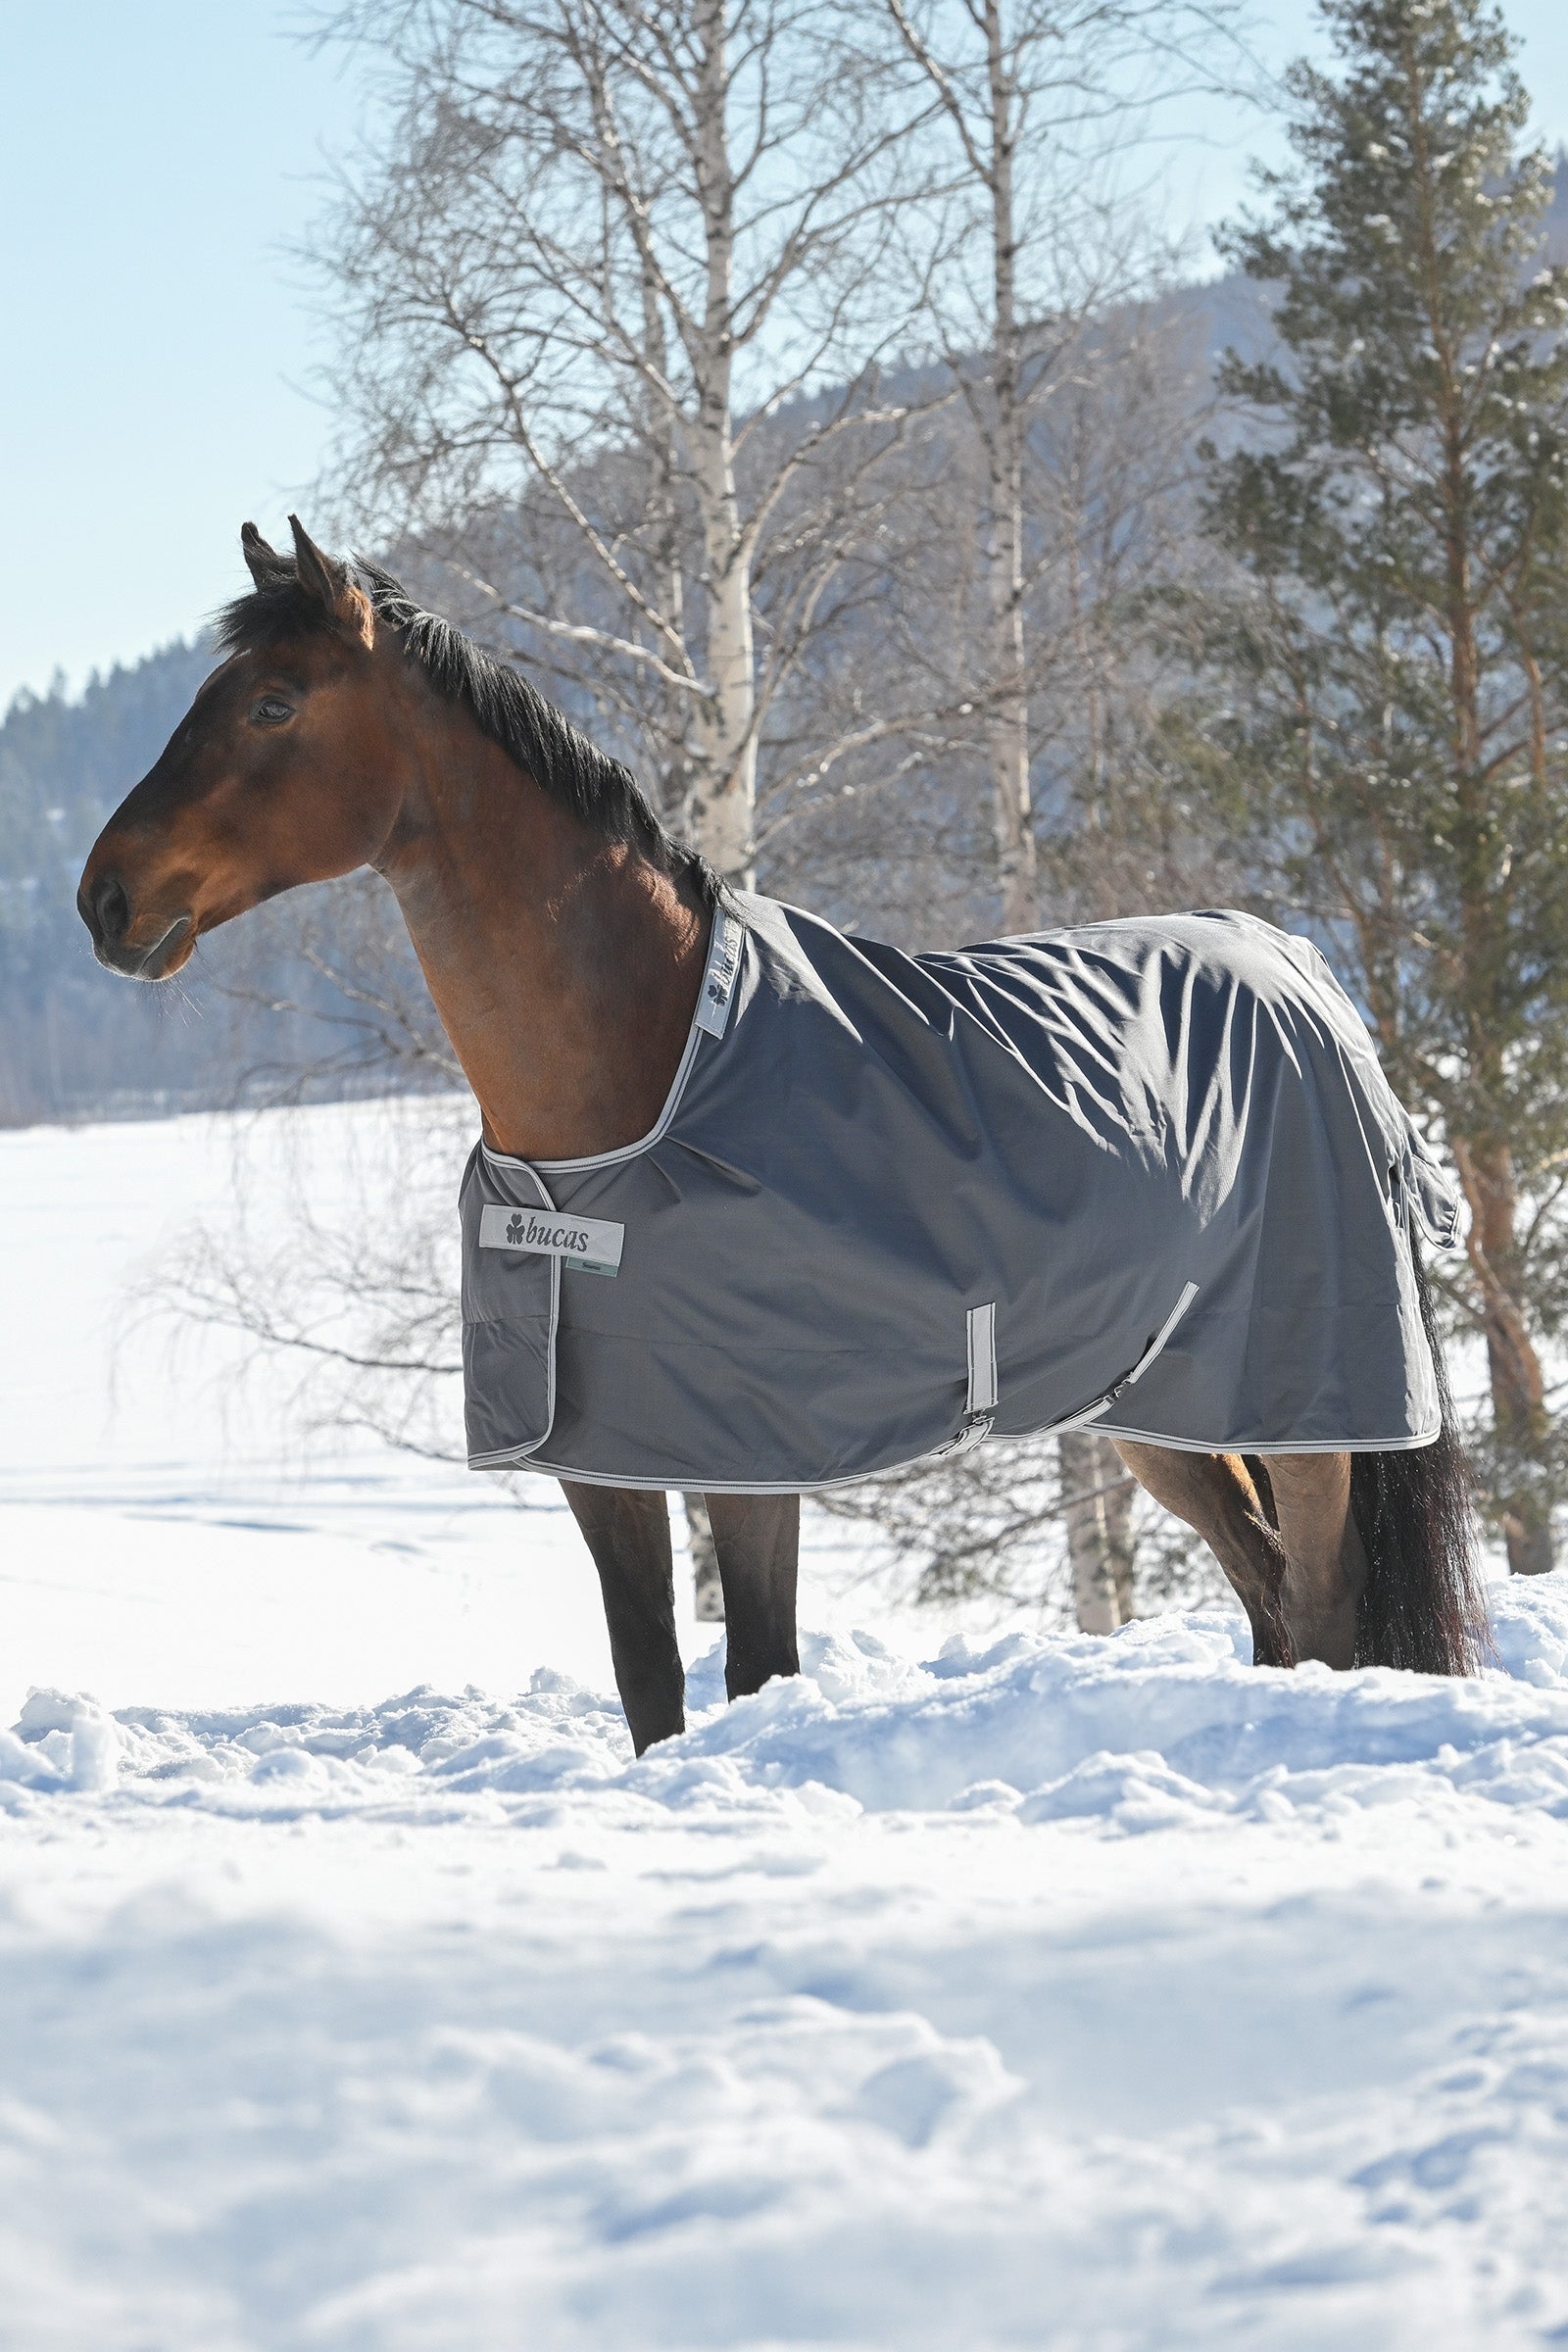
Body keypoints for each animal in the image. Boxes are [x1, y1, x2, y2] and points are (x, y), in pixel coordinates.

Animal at [77, 517, 1488, 1752]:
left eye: (272, 705)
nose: (106, 900)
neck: (641, 1088)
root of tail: (1299, 971)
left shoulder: (752, 1455)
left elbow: (757, 1668)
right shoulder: (603, 1461)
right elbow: (651, 1679)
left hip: (1309, 1396)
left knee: (1322, 1596)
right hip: (1166, 1407)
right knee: (1268, 1590)